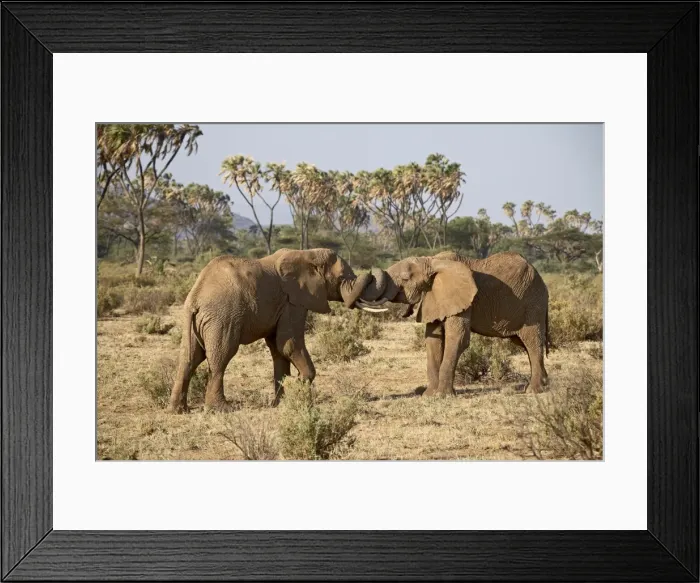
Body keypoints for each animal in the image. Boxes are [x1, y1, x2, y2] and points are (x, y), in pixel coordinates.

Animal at [169, 248, 387, 413]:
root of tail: (195, 298)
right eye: (341, 277)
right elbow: (289, 343)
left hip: (195, 321)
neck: (308, 254)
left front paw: (280, 403)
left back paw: (179, 410)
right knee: (220, 358)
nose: (371, 272)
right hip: (222, 318)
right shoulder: (294, 301)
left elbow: (277, 349)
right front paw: (299, 386)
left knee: (188, 358)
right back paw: (221, 409)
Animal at [357, 251, 550, 397]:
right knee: (522, 342)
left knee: (531, 341)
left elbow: (457, 338)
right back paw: (545, 384)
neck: (432, 261)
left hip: (532, 304)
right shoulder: (435, 297)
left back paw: (533, 391)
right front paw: (429, 396)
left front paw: (442, 396)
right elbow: (433, 341)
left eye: (405, 278)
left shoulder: (462, 299)